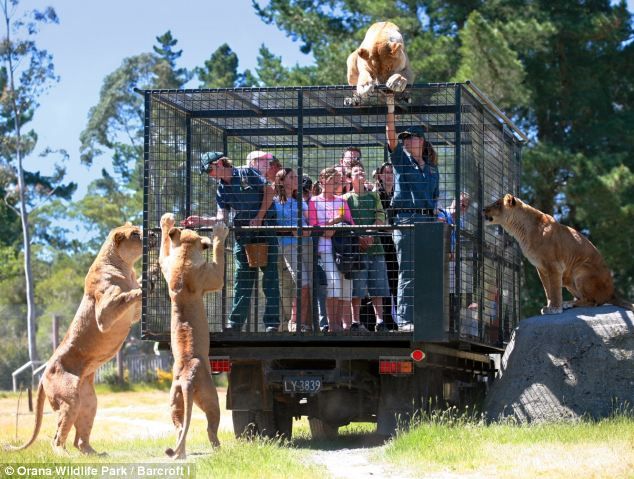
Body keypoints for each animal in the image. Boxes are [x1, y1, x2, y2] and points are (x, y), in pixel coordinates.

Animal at [6, 223, 144, 456]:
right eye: (135, 233)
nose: (148, 232)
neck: (125, 266)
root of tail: (43, 374)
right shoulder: (104, 314)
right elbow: (127, 294)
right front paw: (144, 285)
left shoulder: (133, 315)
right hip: (69, 400)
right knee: (57, 437)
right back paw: (64, 455)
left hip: (88, 402)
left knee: (79, 439)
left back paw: (94, 453)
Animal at [159, 214, 228, 462]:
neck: (184, 256)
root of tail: (187, 378)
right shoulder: (213, 277)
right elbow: (219, 255)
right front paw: (219, 231)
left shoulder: (166, 265)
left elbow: (163, 247)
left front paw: (167, 221)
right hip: (212, 400)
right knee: (211, 428)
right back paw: (221, 450)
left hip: (174, 401)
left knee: (180, 428)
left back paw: (179, 454)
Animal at [482, 194, 628, 316]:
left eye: (497, 204)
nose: (483, 209)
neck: (521, 230)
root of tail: (613, 293)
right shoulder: (541, 268)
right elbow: (548, 289)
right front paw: (549, 306)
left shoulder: (554, 265)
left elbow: (555, 289)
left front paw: (555, 308)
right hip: (570, 281)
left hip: (581, 269)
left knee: (593, 301)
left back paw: (568, 303)